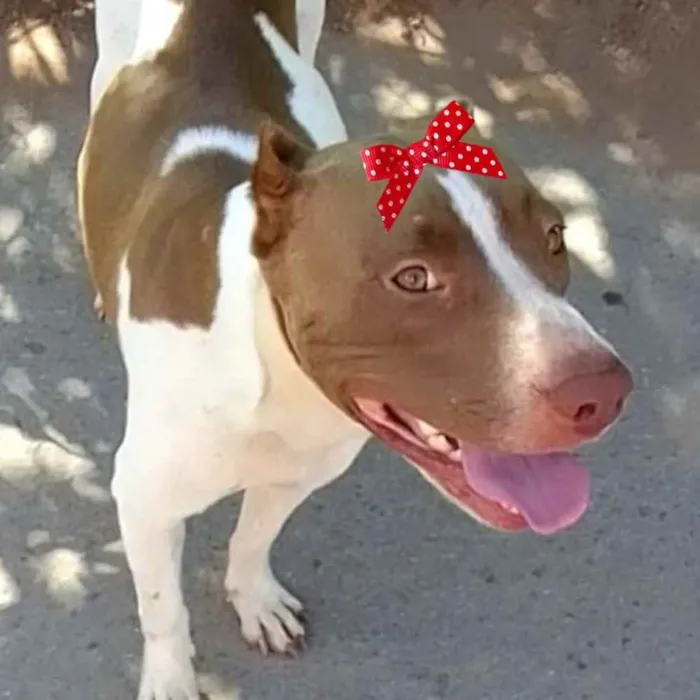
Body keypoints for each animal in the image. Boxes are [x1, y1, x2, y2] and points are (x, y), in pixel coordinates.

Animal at [77, 1, 634, 697]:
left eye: (556, 236)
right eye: (413, 277)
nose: (603, 392)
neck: (275, 379)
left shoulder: (299, 474)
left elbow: (253, 539)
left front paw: (255, 599)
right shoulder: (145, 502)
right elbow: (164, 611)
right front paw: (172, 677)